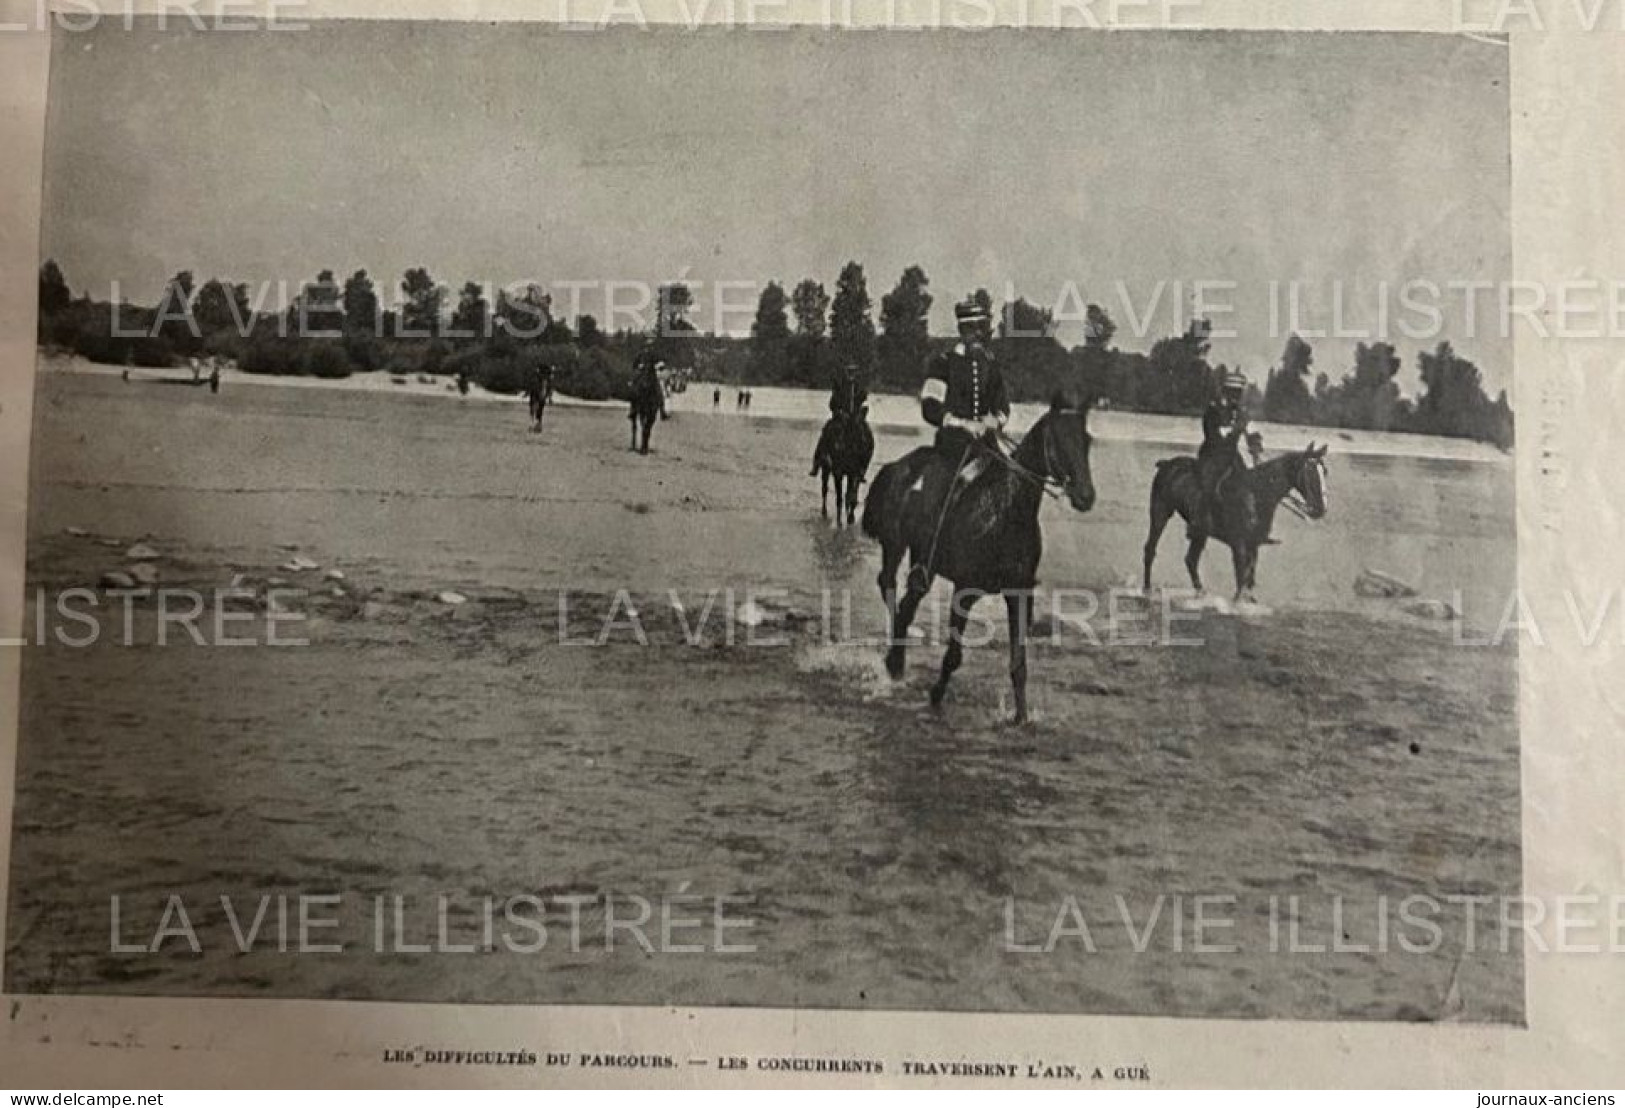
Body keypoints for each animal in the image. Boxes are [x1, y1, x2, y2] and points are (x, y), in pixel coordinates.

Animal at [858, 396, 1098, 724]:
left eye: (1086, 440)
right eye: (1058, 439)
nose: (1086, 496)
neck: (1006, 512)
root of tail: (898, 466)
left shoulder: (1017, 594)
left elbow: (1018, 665)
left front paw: (1021, 718)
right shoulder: (965, 591)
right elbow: (953, 656)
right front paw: (935, 696)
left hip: (924, 560)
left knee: (909, 601)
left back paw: (897, 660)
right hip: (894, 545)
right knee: (889, 588)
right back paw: (893, 659)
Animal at [1144, 438, 1332, 601]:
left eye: (1325, 472)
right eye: (1309, 472)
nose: (1320, 509)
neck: (1255, 494)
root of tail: (1167, 463)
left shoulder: (1254, 544)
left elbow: (1249, 577)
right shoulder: (1239, 545)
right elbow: (1241, 576)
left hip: (1200, 533)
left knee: (1191, 559)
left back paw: (1200, 592)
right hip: (1160, 514)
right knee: (1151, 549)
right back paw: (1147, 590)